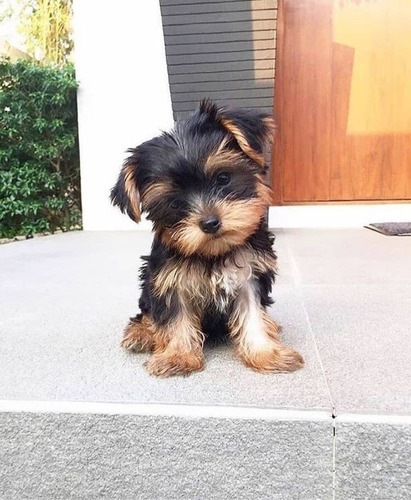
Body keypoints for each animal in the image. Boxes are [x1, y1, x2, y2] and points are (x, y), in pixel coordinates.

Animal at [111, 99, 304, 376]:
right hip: (148, 283)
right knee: (147, 312)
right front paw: (178, 356)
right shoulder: (170, 281)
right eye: (174, 202)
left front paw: (266, 353)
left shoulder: (250, 276)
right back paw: (141, 333)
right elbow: (175, 318)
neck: (214, 252)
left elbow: (253, 315)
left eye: (223, 178)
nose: (210, 223)